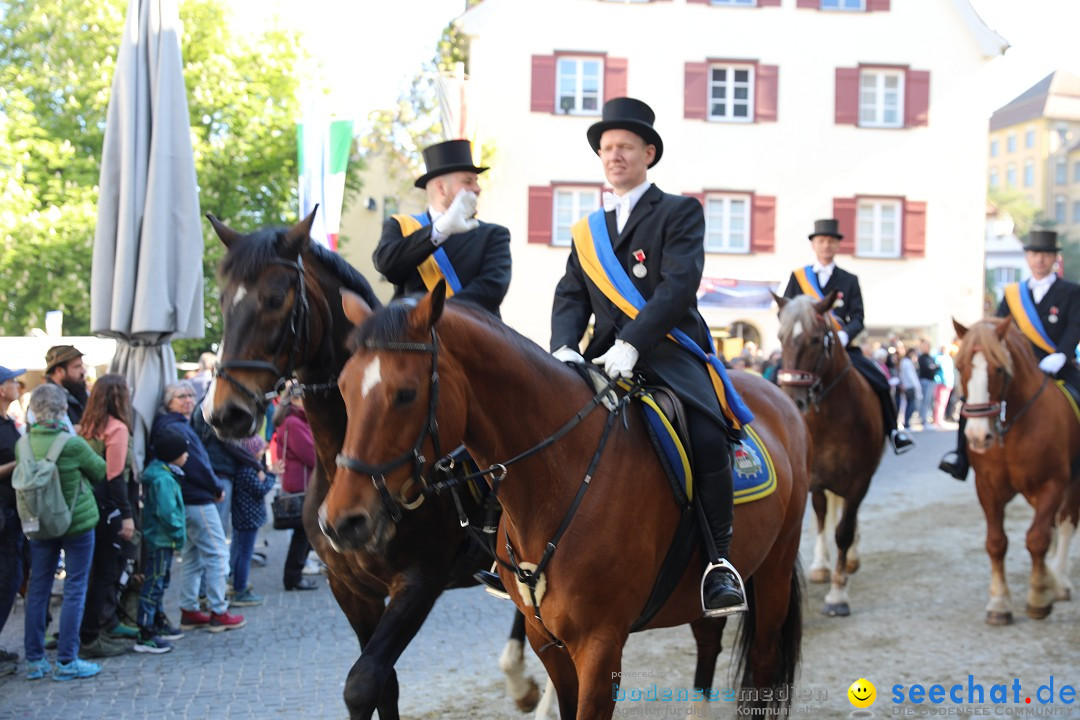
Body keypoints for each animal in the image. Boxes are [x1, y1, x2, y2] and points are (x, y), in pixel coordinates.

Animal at [201, 213, 540, 720]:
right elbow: (383, 685)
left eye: (276, 298)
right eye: (222, 301)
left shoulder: (419, 581)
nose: (224, 413)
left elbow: (362, 683)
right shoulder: (351, 588)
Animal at [330, 284, 812, 716]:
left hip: (775, 568)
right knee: (709, 643)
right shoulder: (548, 643)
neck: (559, 480)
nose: (341, 522)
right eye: (343, 387)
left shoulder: (600, 647)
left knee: (764, 664)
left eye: (405, 393)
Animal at [777, 289, 885, 617]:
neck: (830, 417)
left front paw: (838, 594)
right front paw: (822, 568)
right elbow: (822, 519)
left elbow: (844, 531)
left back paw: (849, 560)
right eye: (781, 337)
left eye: (816, 340)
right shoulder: (814, 479)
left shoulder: (860, 481)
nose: (793, 399)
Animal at [954, 317, 1080, 626]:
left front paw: (1038, 598)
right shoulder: (987, 488)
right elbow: (996, 542)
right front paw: (999, 604)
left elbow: (1037, 538)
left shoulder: (1052, 484)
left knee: (1066, 523)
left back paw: (1059, 581)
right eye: (959, 367)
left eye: (998, 368)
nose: (977, 436)